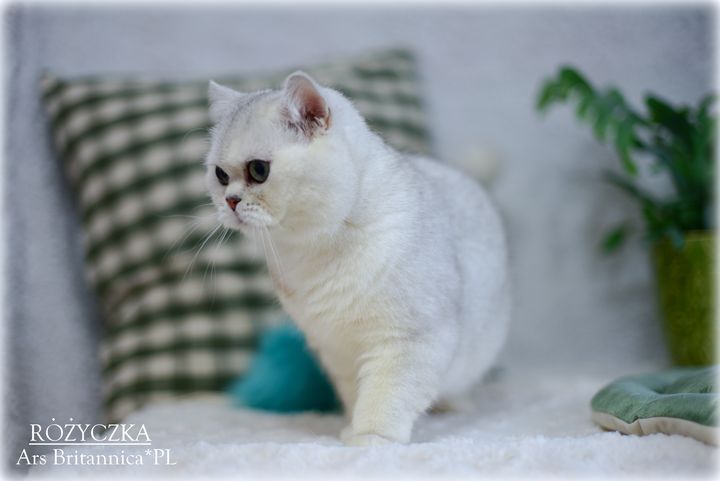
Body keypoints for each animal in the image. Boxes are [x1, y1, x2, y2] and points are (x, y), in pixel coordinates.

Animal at [205, 71, 510, 446]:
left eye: (258, 170)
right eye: (220, 175)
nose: (230, 201)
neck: (312, 250)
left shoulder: (407, 341)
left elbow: (385, 396)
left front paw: (371, 439)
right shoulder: (338, 350)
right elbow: (356, 394)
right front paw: (351, 427)